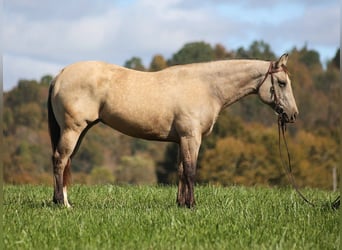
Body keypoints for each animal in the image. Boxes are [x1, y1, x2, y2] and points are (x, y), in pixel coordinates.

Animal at [48, 52, 300, 207]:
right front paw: (192, 205)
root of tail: (61, 74)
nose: (293, 115)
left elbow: (180, 170)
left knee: (66, 162)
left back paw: (63, 200)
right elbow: (190, 170)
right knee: (60, 160)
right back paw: (62, 203)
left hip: (80, 131)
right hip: (73, 129)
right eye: (282, 83)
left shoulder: (182, 140)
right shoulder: (191, 138)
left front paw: (181, 204)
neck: (206, 87)